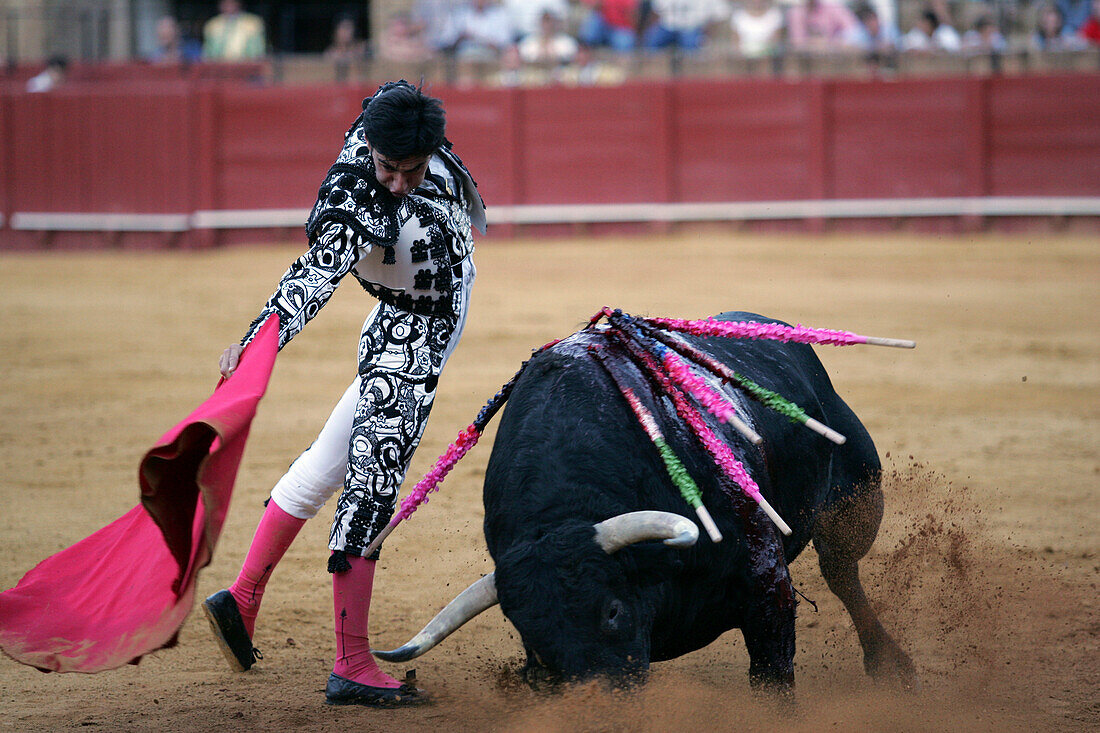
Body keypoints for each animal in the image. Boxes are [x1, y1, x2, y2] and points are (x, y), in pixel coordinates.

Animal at [378, 310, 919, 686]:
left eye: (612, 611)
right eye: (532, 639)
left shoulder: (767, 590)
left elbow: (772, 678)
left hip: (854, 497)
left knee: (842, 572)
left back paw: (892, 667)